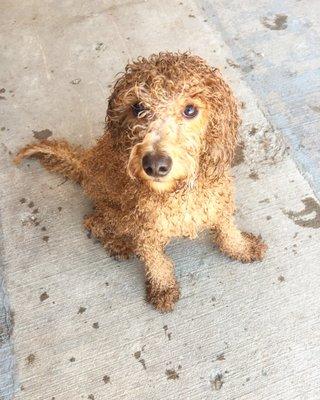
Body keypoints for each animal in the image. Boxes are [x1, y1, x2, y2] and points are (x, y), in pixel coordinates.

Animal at [15, 50, 266, 312]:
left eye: (190, 110)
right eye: (138, 107)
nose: (155, 164)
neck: (176, 192)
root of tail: (85, 164)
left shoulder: (218, 202)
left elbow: (228, 230)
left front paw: (241, 248)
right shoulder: (145, 229)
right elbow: (156, 261)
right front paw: (163, 287)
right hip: (116, 213)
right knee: (94, 222)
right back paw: (118, 243)